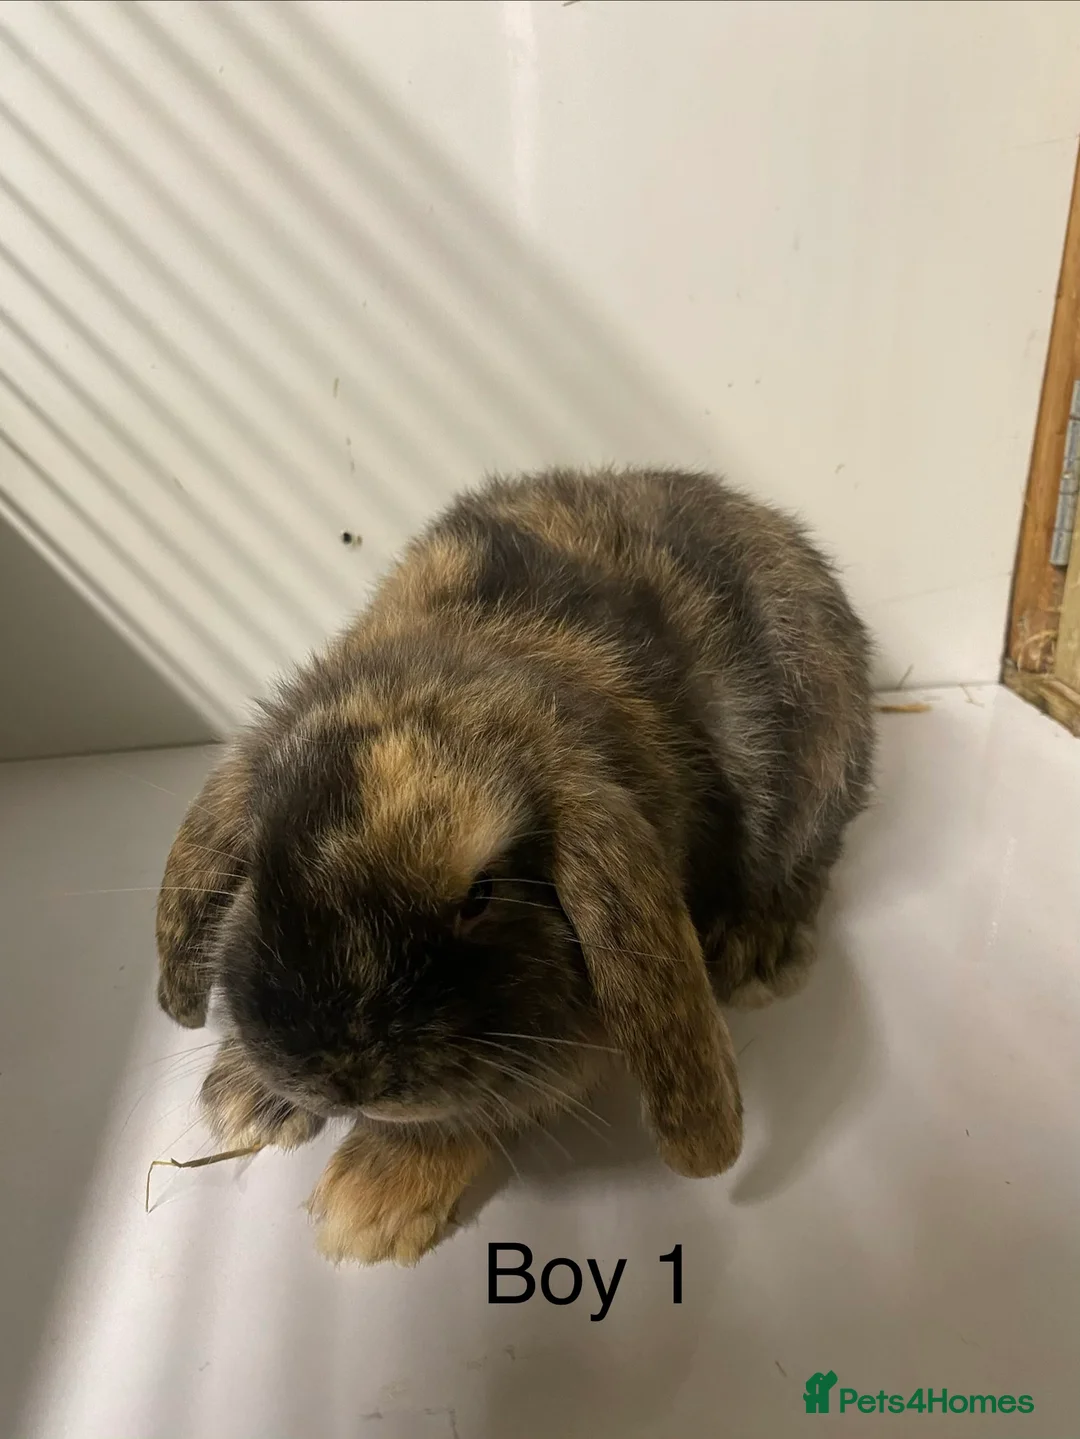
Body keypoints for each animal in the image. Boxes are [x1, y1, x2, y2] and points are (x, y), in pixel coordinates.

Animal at [156, 466, 874, 1265]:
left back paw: (756, 951)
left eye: (483, 894)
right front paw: (246, 1097)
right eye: (263, 868)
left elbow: (481, 1108)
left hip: (821, 773)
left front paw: (371, 1202)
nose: (343, 1078)